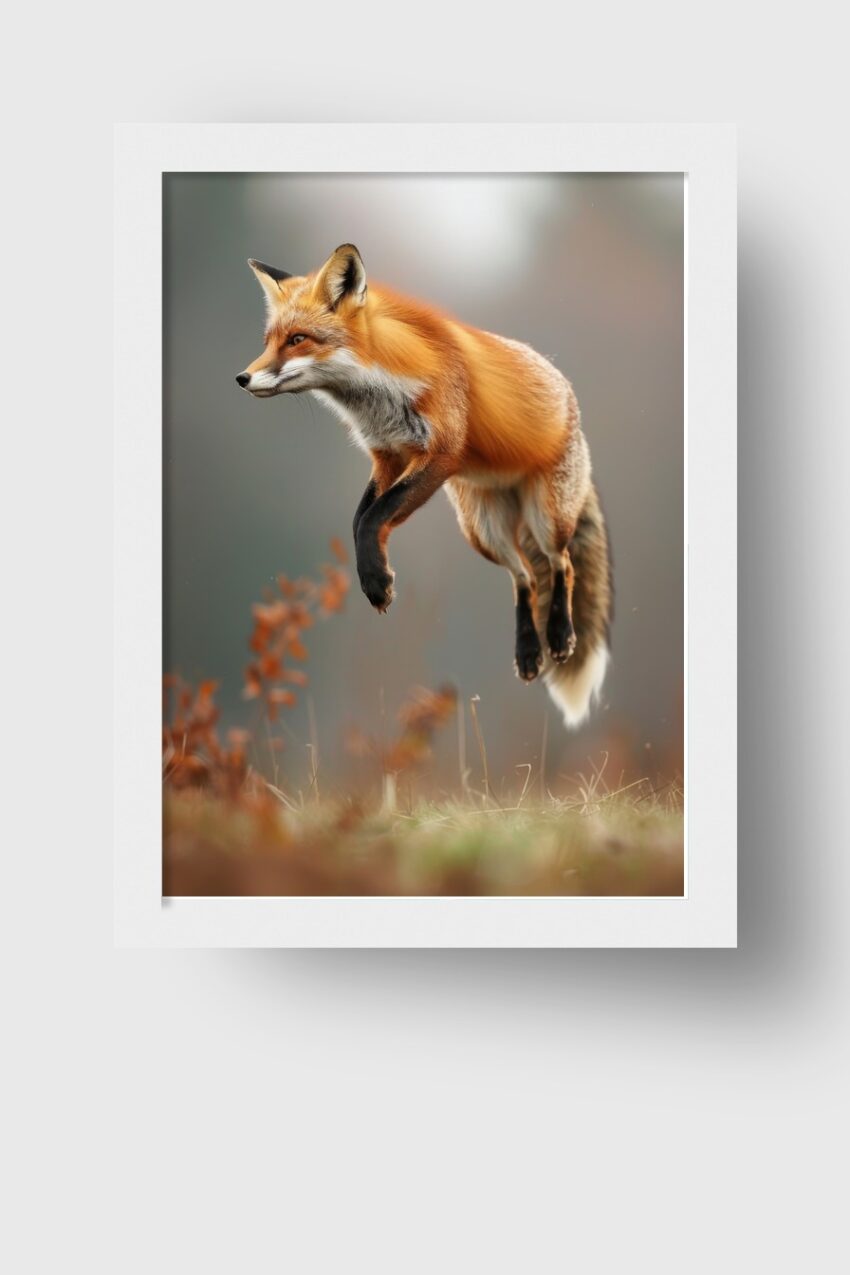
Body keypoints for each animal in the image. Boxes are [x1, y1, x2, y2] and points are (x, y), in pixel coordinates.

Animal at [236, 244, 612, 726]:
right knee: (525, 577)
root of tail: (565, 388)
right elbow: (360, 521)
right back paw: (529, 651)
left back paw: (560, 635)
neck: (380, 392)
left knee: (562, 564)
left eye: (298, 339)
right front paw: (374, 576)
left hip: (547, 517)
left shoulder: (439, 456)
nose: (242, 378)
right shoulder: (387, 456)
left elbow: (373, 518)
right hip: (482, 532)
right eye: (269, 341)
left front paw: (377, 582)